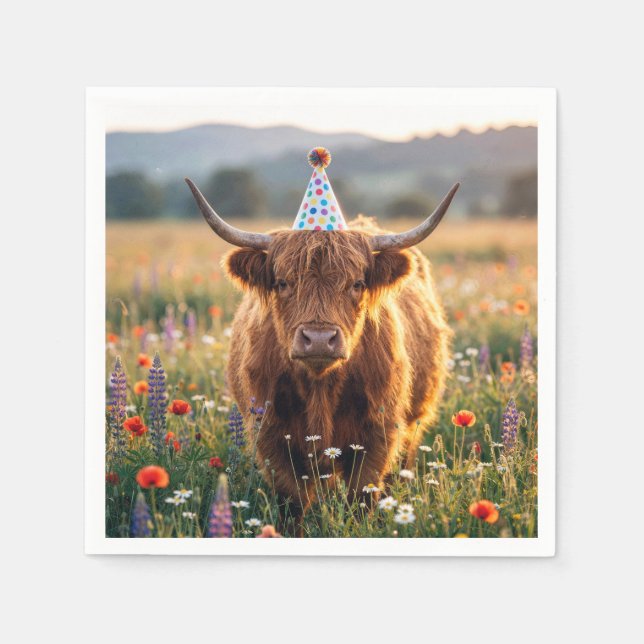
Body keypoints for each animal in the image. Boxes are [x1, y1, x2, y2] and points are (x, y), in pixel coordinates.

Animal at [186, 178, 458, 527]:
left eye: (356, 284)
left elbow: (362, 498)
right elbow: (292, 504)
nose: (318, 339)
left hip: (413, 424)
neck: (320, 389)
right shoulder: (272, 437)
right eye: (283, 283)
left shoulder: (377, 437)